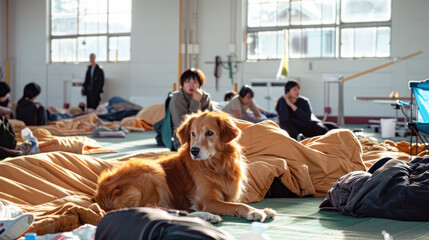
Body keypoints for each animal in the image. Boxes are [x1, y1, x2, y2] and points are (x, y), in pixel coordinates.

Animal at [92, 110, 276, 223]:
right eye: (192, 134)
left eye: (210, 133)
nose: (194, 150)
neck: (217, 165)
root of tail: (99, 194)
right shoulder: (208, 200)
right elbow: (237, 205)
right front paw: (253, 211)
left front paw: (264, 209)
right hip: (153, 170)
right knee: (152, 209)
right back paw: (207, 215)